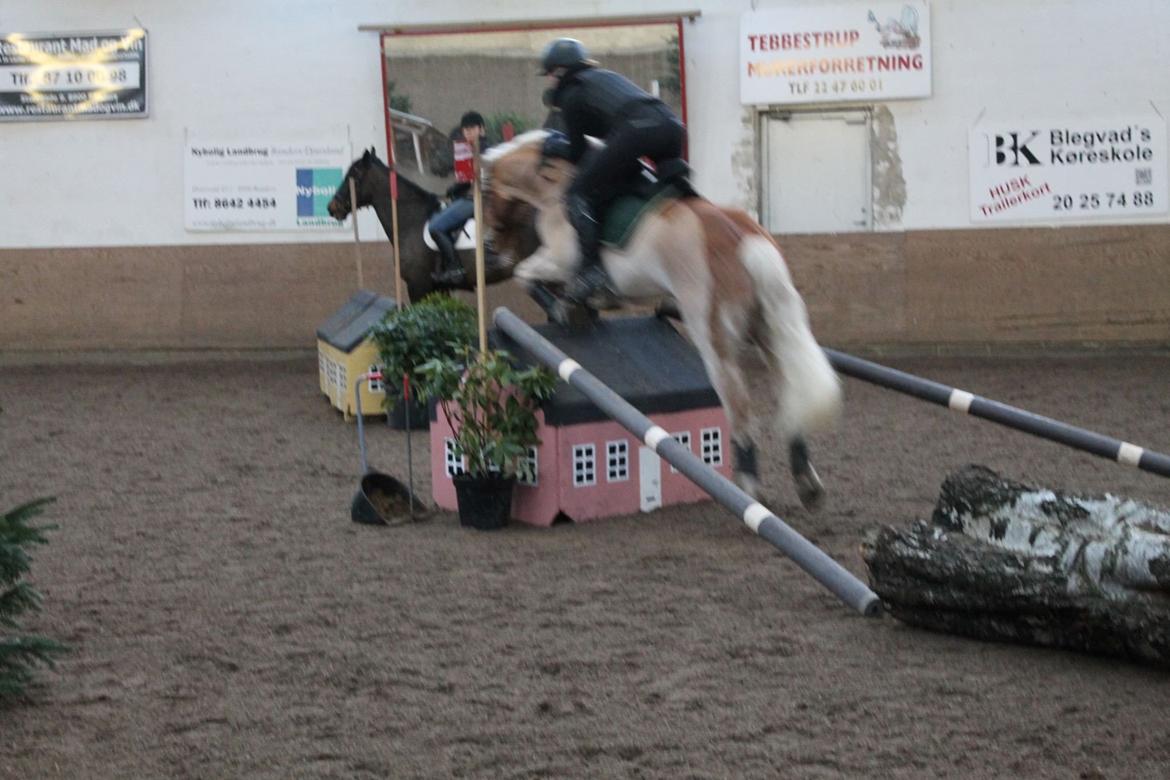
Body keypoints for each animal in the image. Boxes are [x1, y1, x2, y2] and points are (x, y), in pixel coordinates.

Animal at [482, 129, 842, 507]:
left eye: (486, 196)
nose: (490, 250)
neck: (554, 183)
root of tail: (744, 240)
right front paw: (574, 308)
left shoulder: (558, 258)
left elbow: (525, 274)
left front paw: (562, 309)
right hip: (768, 332)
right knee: (789, 393)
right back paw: (806, 482)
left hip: (714, 342)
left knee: (740, 409)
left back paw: (748, 486)